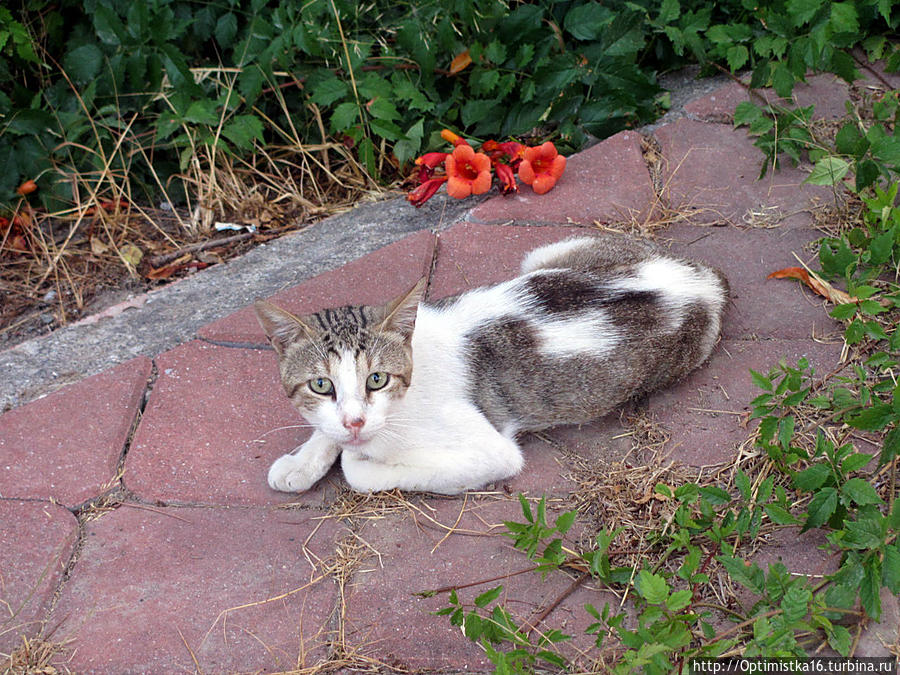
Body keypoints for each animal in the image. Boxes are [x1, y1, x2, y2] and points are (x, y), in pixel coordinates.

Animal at [255, 235, 732, 494]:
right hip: (544, 257)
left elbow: (360, 470)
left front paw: (358, 455)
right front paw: (303, 461)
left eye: (376, 379)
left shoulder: (492, 454)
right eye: (321, 385)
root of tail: (706, 277)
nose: (354, 422)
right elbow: (327, 431)